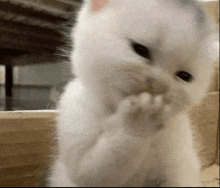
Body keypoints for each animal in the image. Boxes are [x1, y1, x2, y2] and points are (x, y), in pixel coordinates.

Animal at [47, 0, 217, 187]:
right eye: (140, 49)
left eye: (185, 76)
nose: (158, 85)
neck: (114, 109)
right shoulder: (75, 111)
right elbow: (91, 171)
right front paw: (139, 121)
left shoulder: (182, 162)